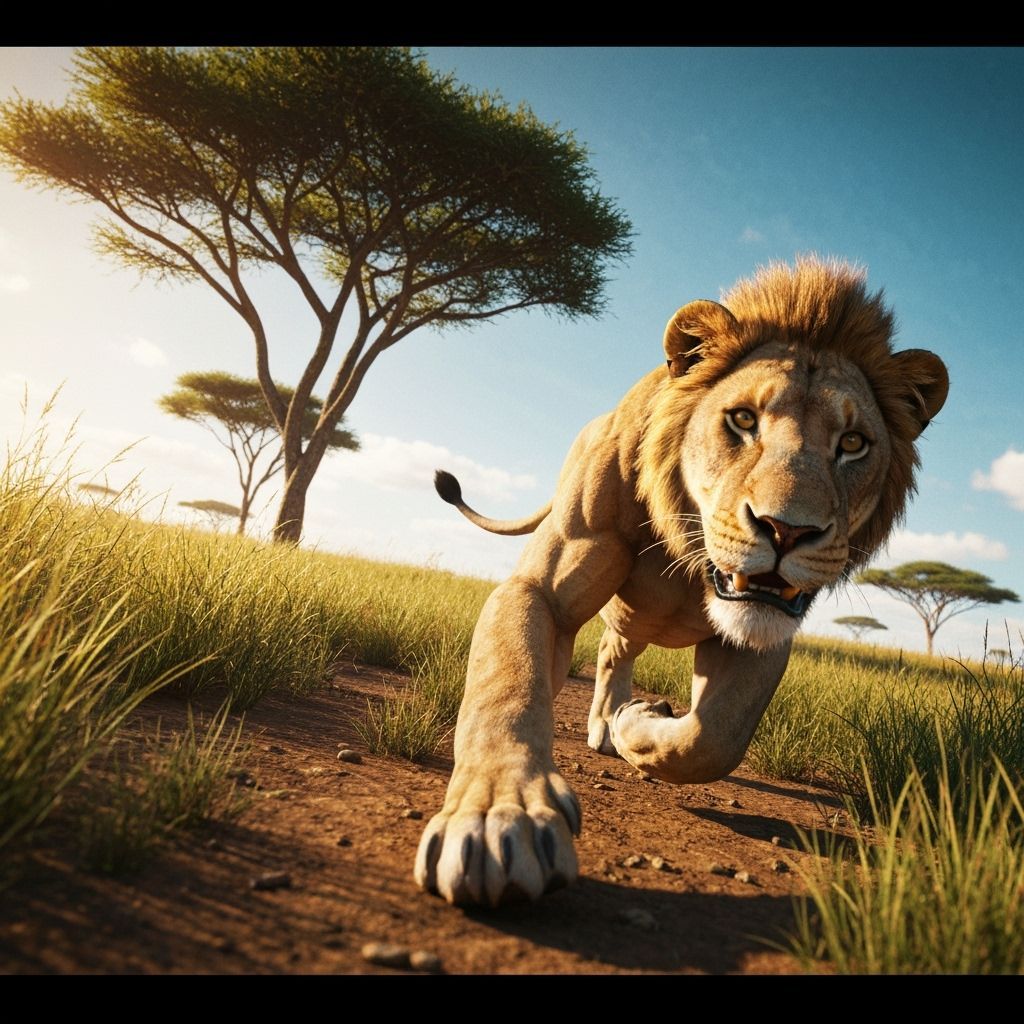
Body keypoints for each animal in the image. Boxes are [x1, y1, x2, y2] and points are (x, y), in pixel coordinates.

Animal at [414, 257, 948, 907]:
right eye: (742, 420)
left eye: (852, 443)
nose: (787, 530)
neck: (693, 549)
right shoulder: (542, 588)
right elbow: (507, 683)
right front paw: (498, 816)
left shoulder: (761, 631)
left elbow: (713, 738)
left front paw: (638, 724)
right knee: (608, 649)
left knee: (619, 651)